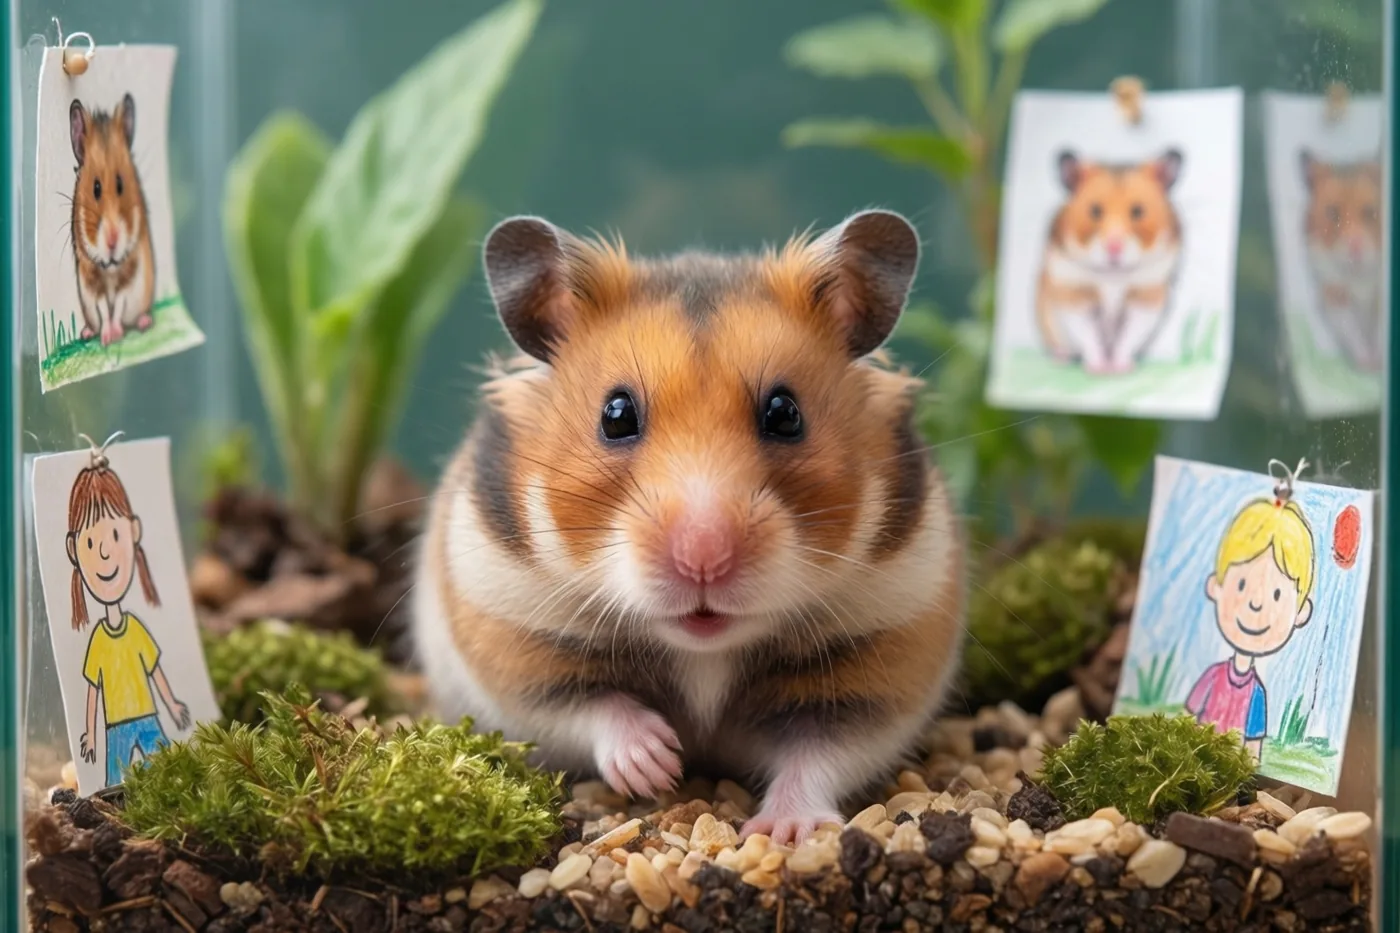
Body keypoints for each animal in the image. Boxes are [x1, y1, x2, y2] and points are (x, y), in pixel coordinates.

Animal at [69, 93, 156, 347]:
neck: (110, 269)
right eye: (96, 188)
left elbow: (117, 305)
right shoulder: (92, 282)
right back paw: (87, 333)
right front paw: (107, 339)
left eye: (120, 184)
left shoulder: (129, 277)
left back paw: (145, 322)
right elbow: (103, 310)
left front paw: (115, 336)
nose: (112, 243)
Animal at [413, 210, 965, 843]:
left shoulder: (884, 658)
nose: (704, 558)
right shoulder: (513, 635)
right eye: (615, 414)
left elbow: (819, 752)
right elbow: (590, 707)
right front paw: (657, 765)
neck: (705, 652)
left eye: (785, 413)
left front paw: (785, 831)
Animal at [1036, 149, 1183, 374]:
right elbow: (1087, 334)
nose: (1114, 248)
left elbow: (1129, 337)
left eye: (1138, 211)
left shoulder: (1146, 296)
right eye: (1095, 211)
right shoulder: (1073, 293)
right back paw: (1060, 359)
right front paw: (1098, 369)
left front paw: (1120, 368)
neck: (1113, 275)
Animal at [1300, 151, 1382, 372]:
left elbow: (1377, 331)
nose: (1355, 249)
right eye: (1332, 213)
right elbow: (1351, 331)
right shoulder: (1335, 295)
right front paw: (1367, 365)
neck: (1359, 273)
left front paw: (1378, 364)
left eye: (1369, 211)